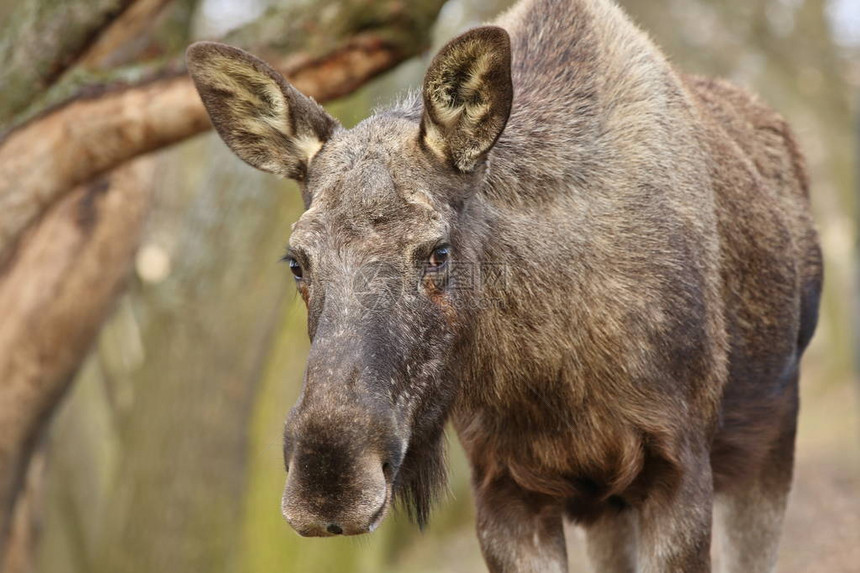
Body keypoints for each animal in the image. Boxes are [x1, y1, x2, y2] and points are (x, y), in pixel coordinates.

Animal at [186, 0, 820, 568]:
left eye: (438, 251)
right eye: (297, 261)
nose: (329, 483)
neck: (548, 373)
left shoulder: (680, 465)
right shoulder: (503, 484)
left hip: (771, 438)